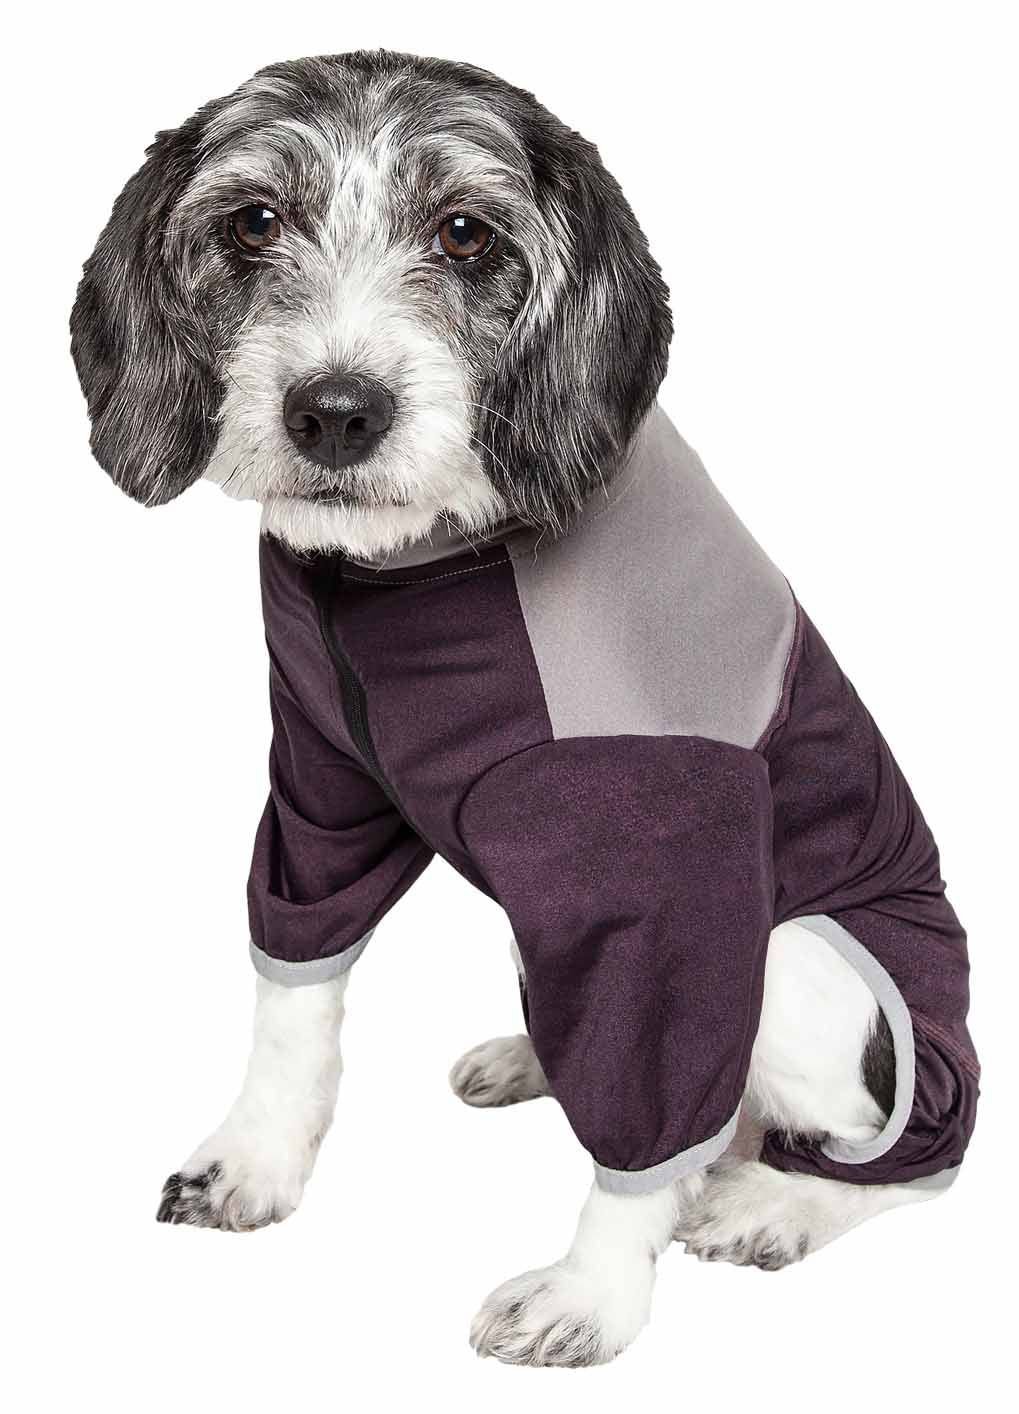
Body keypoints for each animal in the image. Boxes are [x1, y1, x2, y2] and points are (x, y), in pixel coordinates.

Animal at [71, 51, 979, 1367]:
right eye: (253, 221)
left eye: (464, 231)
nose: (334, 412)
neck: (403, 572)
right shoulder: (319, 787)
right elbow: (294, 990)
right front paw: (253, 1158)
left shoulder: (666, 879)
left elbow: (652, 1105)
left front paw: (590, 1294)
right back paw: (535, 1056)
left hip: (808, 960)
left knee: (889, 1152)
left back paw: (773, 1201)